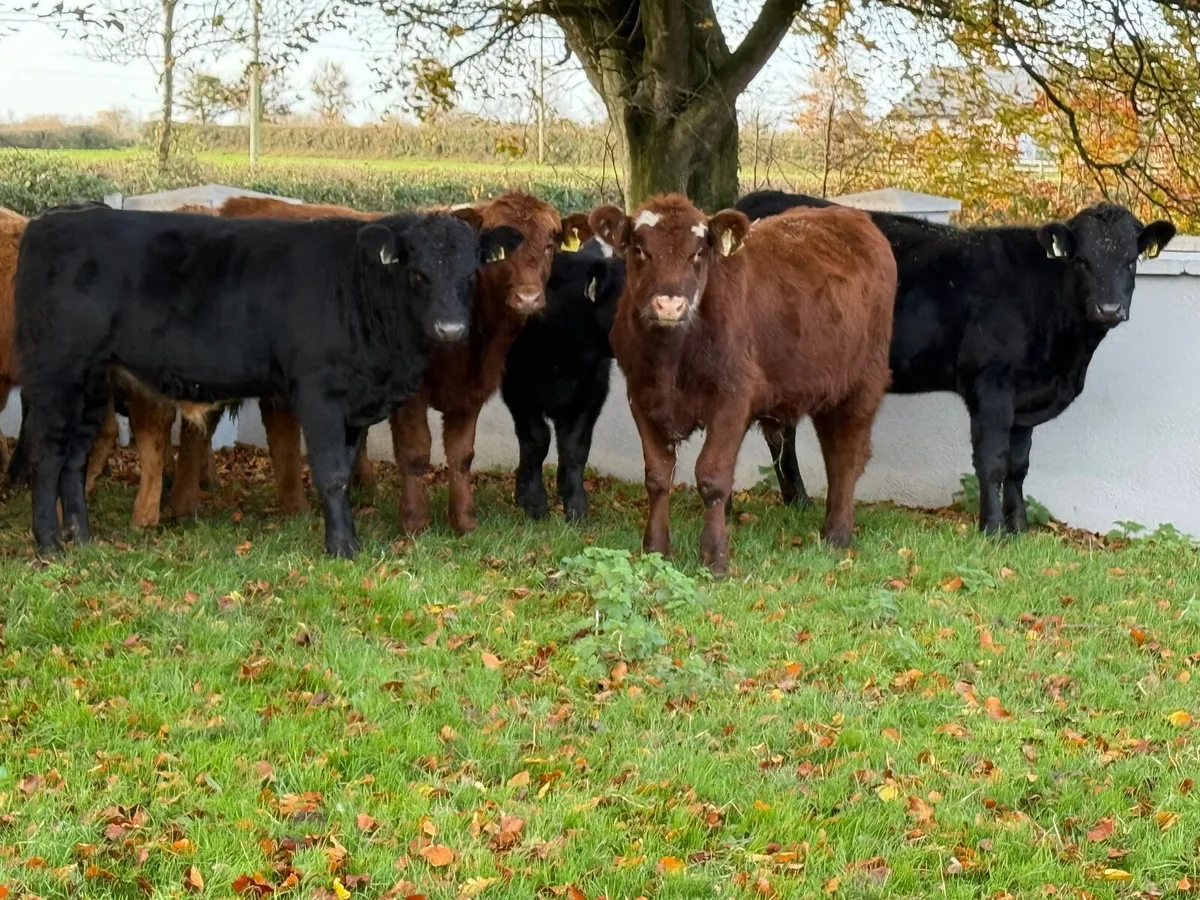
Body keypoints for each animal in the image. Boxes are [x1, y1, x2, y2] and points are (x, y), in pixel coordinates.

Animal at [14, 205, 523, 558]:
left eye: (471, 273)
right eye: (417, 274)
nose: (450, 329)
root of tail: (52, 221)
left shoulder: (354, 404)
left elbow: (343, 467)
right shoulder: (320, 394)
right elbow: (331, 472)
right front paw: (342, 548)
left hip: (93, 381)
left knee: (74, 458)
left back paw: (81, 538)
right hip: (56, 373)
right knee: (48, 454)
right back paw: (50, 545)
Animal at [388, 192, 590, 535]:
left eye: (550, 244)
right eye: (499, 251)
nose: (528, 298)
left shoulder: (472, 390)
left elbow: (462, 453)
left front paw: (464, 520)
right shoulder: (410, 393)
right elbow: (415, 451)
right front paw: (414, 521)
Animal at [502, 238, 622, 521]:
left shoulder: (592, 391)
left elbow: (575, 447)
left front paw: (576, 505)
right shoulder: (517, 389)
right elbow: (536, 441)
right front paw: (532, 500)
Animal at [590, 194, 896, 576]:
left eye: (698, 252)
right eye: (640, 249)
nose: (669, 305)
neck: (670, 357)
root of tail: (851, 217)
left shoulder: (732, 399)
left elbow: (712, 477)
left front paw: (715, 558)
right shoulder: (641, 396)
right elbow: (657, 476)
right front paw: (656, 548)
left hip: (863, 383)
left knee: (847, 455)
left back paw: (838, 534)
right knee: (832, 451)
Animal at [736, 189, 1176, 533]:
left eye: (1131, 260)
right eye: (1082, 260)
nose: (1109, 309)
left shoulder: (1026, 398)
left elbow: (1019, 465)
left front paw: (1020, 528)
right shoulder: (990, 385)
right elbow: (992, 461)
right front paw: (993, 529)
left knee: (781, 432)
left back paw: (797, 500)